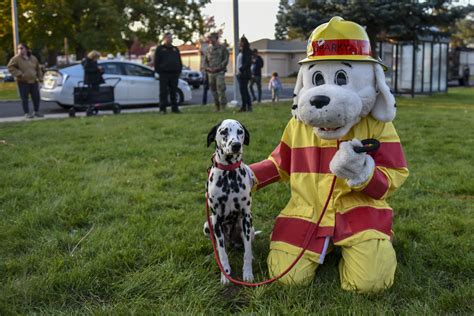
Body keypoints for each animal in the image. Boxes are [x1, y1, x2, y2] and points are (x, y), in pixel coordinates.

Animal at [204, 118, 256, 284]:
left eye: (240, 131)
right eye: (223, 131)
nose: (236, 145)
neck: (229, 176)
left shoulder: (246, 217)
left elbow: (247, 252)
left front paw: (248, 273)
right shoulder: (216, 220)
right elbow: (221, 253)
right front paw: (225, 274)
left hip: (249, 228)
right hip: (208, 225)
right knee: (221, 246)